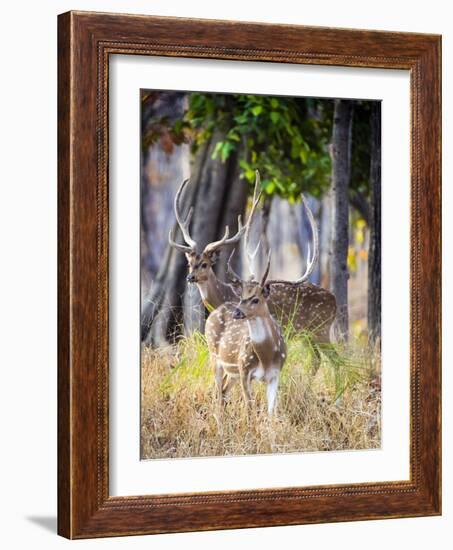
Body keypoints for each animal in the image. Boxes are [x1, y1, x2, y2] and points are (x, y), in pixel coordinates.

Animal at [205, 254, 286, 418]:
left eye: (255, 299)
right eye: (241, 297)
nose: (237, 312)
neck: (266, 358)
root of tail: (214, 312)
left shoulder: (275, 373)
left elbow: (271, 412)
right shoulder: (244, 369)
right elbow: (250, 407)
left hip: (231, 372)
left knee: (223, 392)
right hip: (214, 356)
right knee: (217, 393)